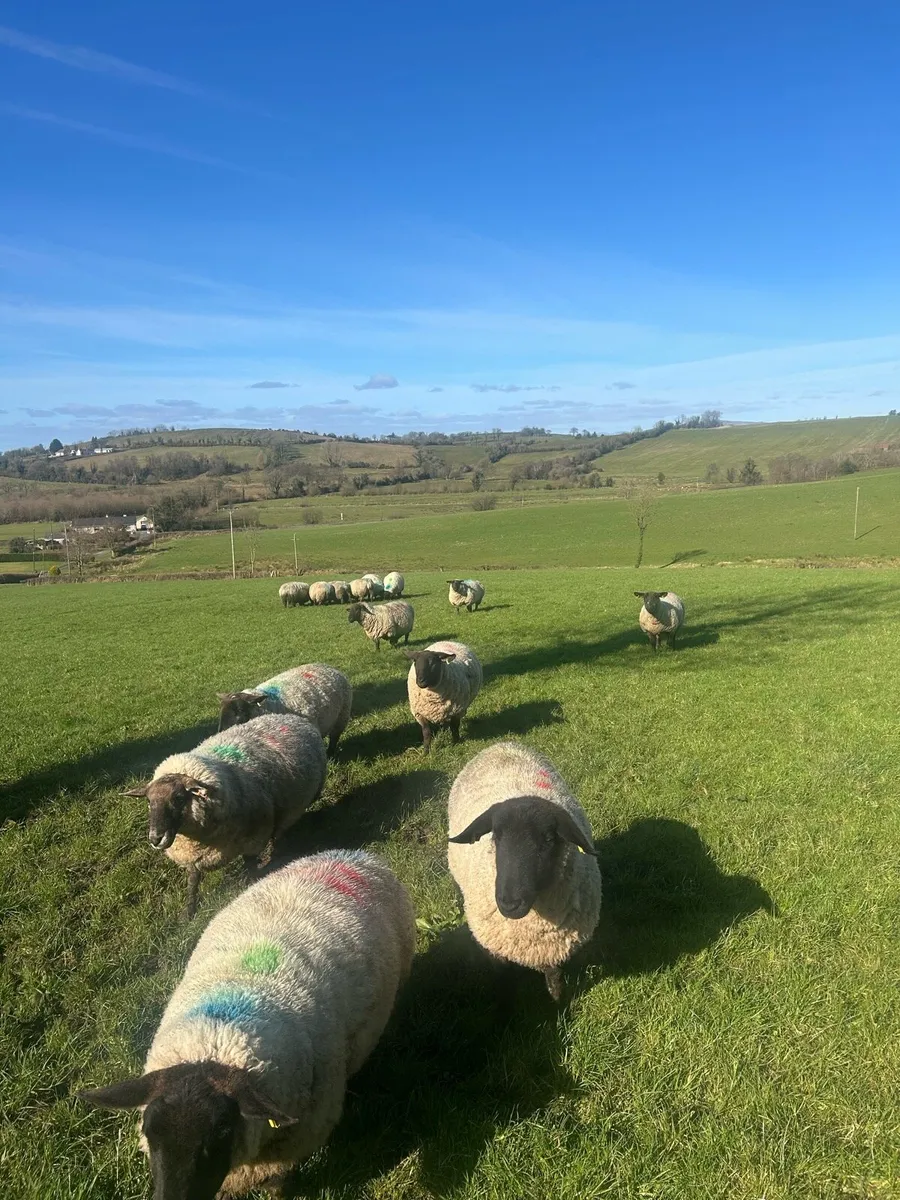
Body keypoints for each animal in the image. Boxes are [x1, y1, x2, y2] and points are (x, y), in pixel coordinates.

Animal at [79, 849, 415, 1199]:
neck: (218, 1036)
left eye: (222, 1131)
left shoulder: (290, 1144)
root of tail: (353, 855)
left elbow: (278, 1186)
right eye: (149, 1130)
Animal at [124, 714, 327, 918]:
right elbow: (193, 881)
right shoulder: (192, 855)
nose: (155, 839)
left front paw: (249, 883)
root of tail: (291, 716)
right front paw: (189, 912)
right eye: (149, 801)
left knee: (281, 829)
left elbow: (250, 865)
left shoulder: (253, 839)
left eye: (179, 798)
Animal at [216, 664, 353, 753]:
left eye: (241, 712)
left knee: (334, 737)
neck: (271, 706)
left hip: (342, 716)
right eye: (221, 713)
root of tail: (330, 667)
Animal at [447, 741, 601, 1000]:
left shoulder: (553, 947)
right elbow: (503, 980)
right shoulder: (496, 949)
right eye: (496, 835)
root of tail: (501, 743)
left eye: (549, 839)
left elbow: (554, 979)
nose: (510, 903)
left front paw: (558, 1002)